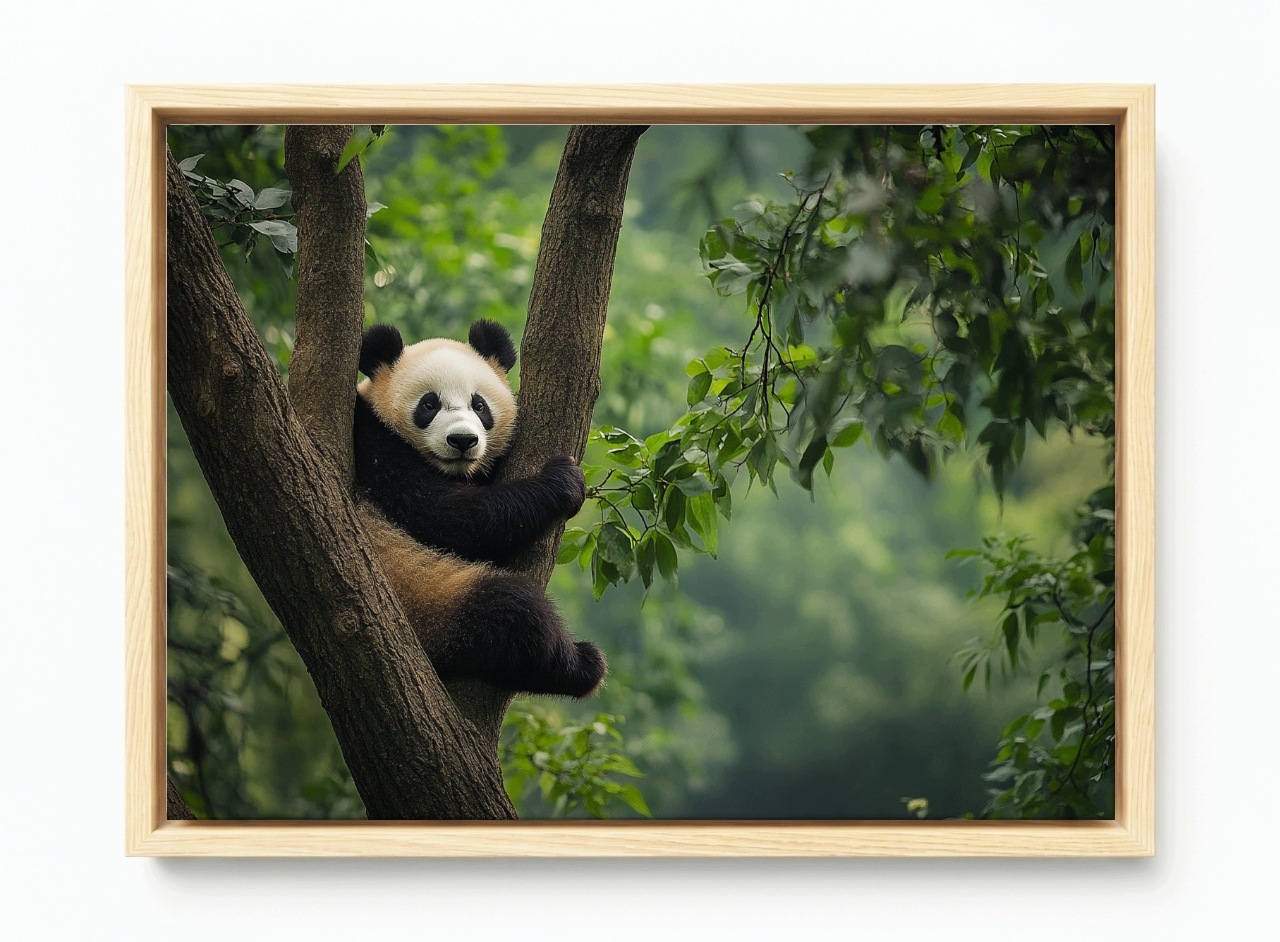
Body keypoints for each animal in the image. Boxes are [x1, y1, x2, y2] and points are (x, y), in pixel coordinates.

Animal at [353, 319, 606, 698]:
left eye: (479, 405)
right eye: (429, 404)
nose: (462, 440)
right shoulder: (372, 448)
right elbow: (452, 518)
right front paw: (562, 481)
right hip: (432, 602)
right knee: (513, 612)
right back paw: (583, 665)